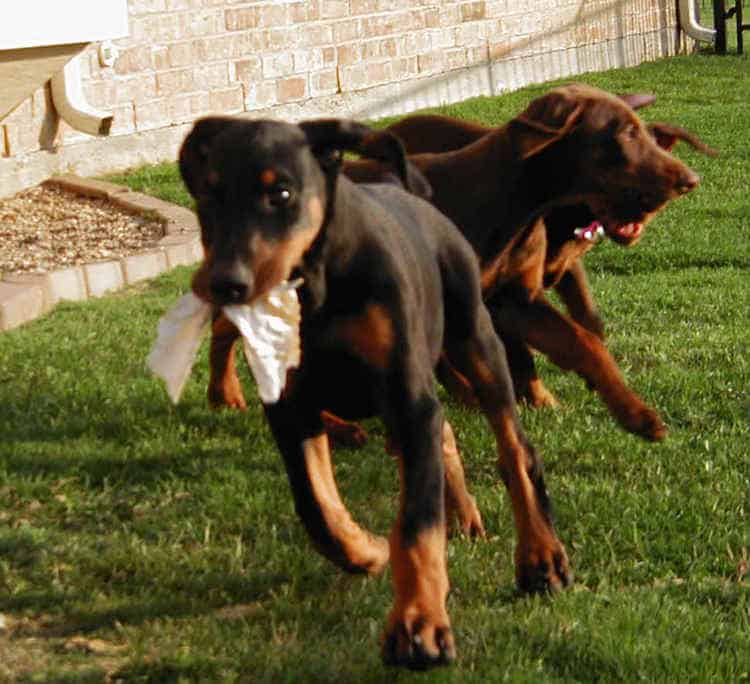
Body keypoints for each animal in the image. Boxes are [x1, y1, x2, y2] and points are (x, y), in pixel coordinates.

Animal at [181, 116, 568, 668]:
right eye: (208, 195)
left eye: (281, 193)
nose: (224, 285)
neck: (316, 293)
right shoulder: (291, 408)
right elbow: (316, 507)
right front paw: (365, 549)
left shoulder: (407, 397)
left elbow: (417, 521)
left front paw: (419, 623)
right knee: (443, 437)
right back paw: (464, 514)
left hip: (475, 339)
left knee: (514, 447)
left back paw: (540, 558)